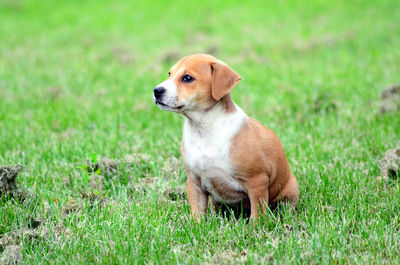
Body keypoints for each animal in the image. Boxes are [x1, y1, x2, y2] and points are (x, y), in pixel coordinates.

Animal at [155, 53, 298, 219]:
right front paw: (196, 224)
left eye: (187, 78)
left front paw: (256, 226)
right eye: (169, 74)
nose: (157, 91)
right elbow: (197, 211)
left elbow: (257, 214)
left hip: (290, 189)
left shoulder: (257, 181)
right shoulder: (194, 181)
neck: (203, 128)